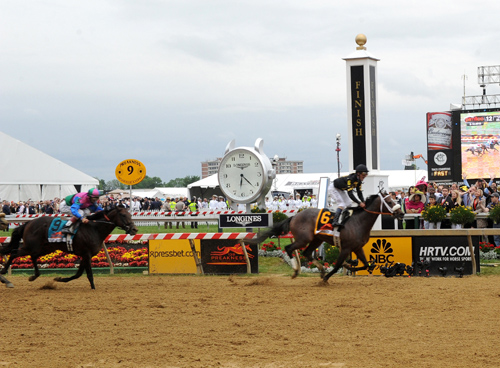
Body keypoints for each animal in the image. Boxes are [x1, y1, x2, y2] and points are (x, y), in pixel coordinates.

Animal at [0, 207, 137, 288]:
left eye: (130, 214)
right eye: (123, 215)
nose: (135, 229)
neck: (94, 228)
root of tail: (29, 222)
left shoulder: (85, 255)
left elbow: (78, 274)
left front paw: (59, 279)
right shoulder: (86, 254)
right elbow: (89, 274)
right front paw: (93, 288)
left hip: (44, 248)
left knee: (32, 256)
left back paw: (34, 276)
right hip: (31, 246)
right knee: (14, 253)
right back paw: (4, 274)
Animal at [252, 191, 404, 280]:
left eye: (395, 200)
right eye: (389, 202)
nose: (401, 213)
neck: (358, 222)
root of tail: (294, 216)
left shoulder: (357, 247)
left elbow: (367, 265)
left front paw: (350, 265)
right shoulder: (346, 248)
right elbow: (337, 266)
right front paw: (328, 278)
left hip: (316, 240)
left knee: (306, 253)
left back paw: (321, 270)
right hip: (303, 239)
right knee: (289, 248)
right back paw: (296, 271)